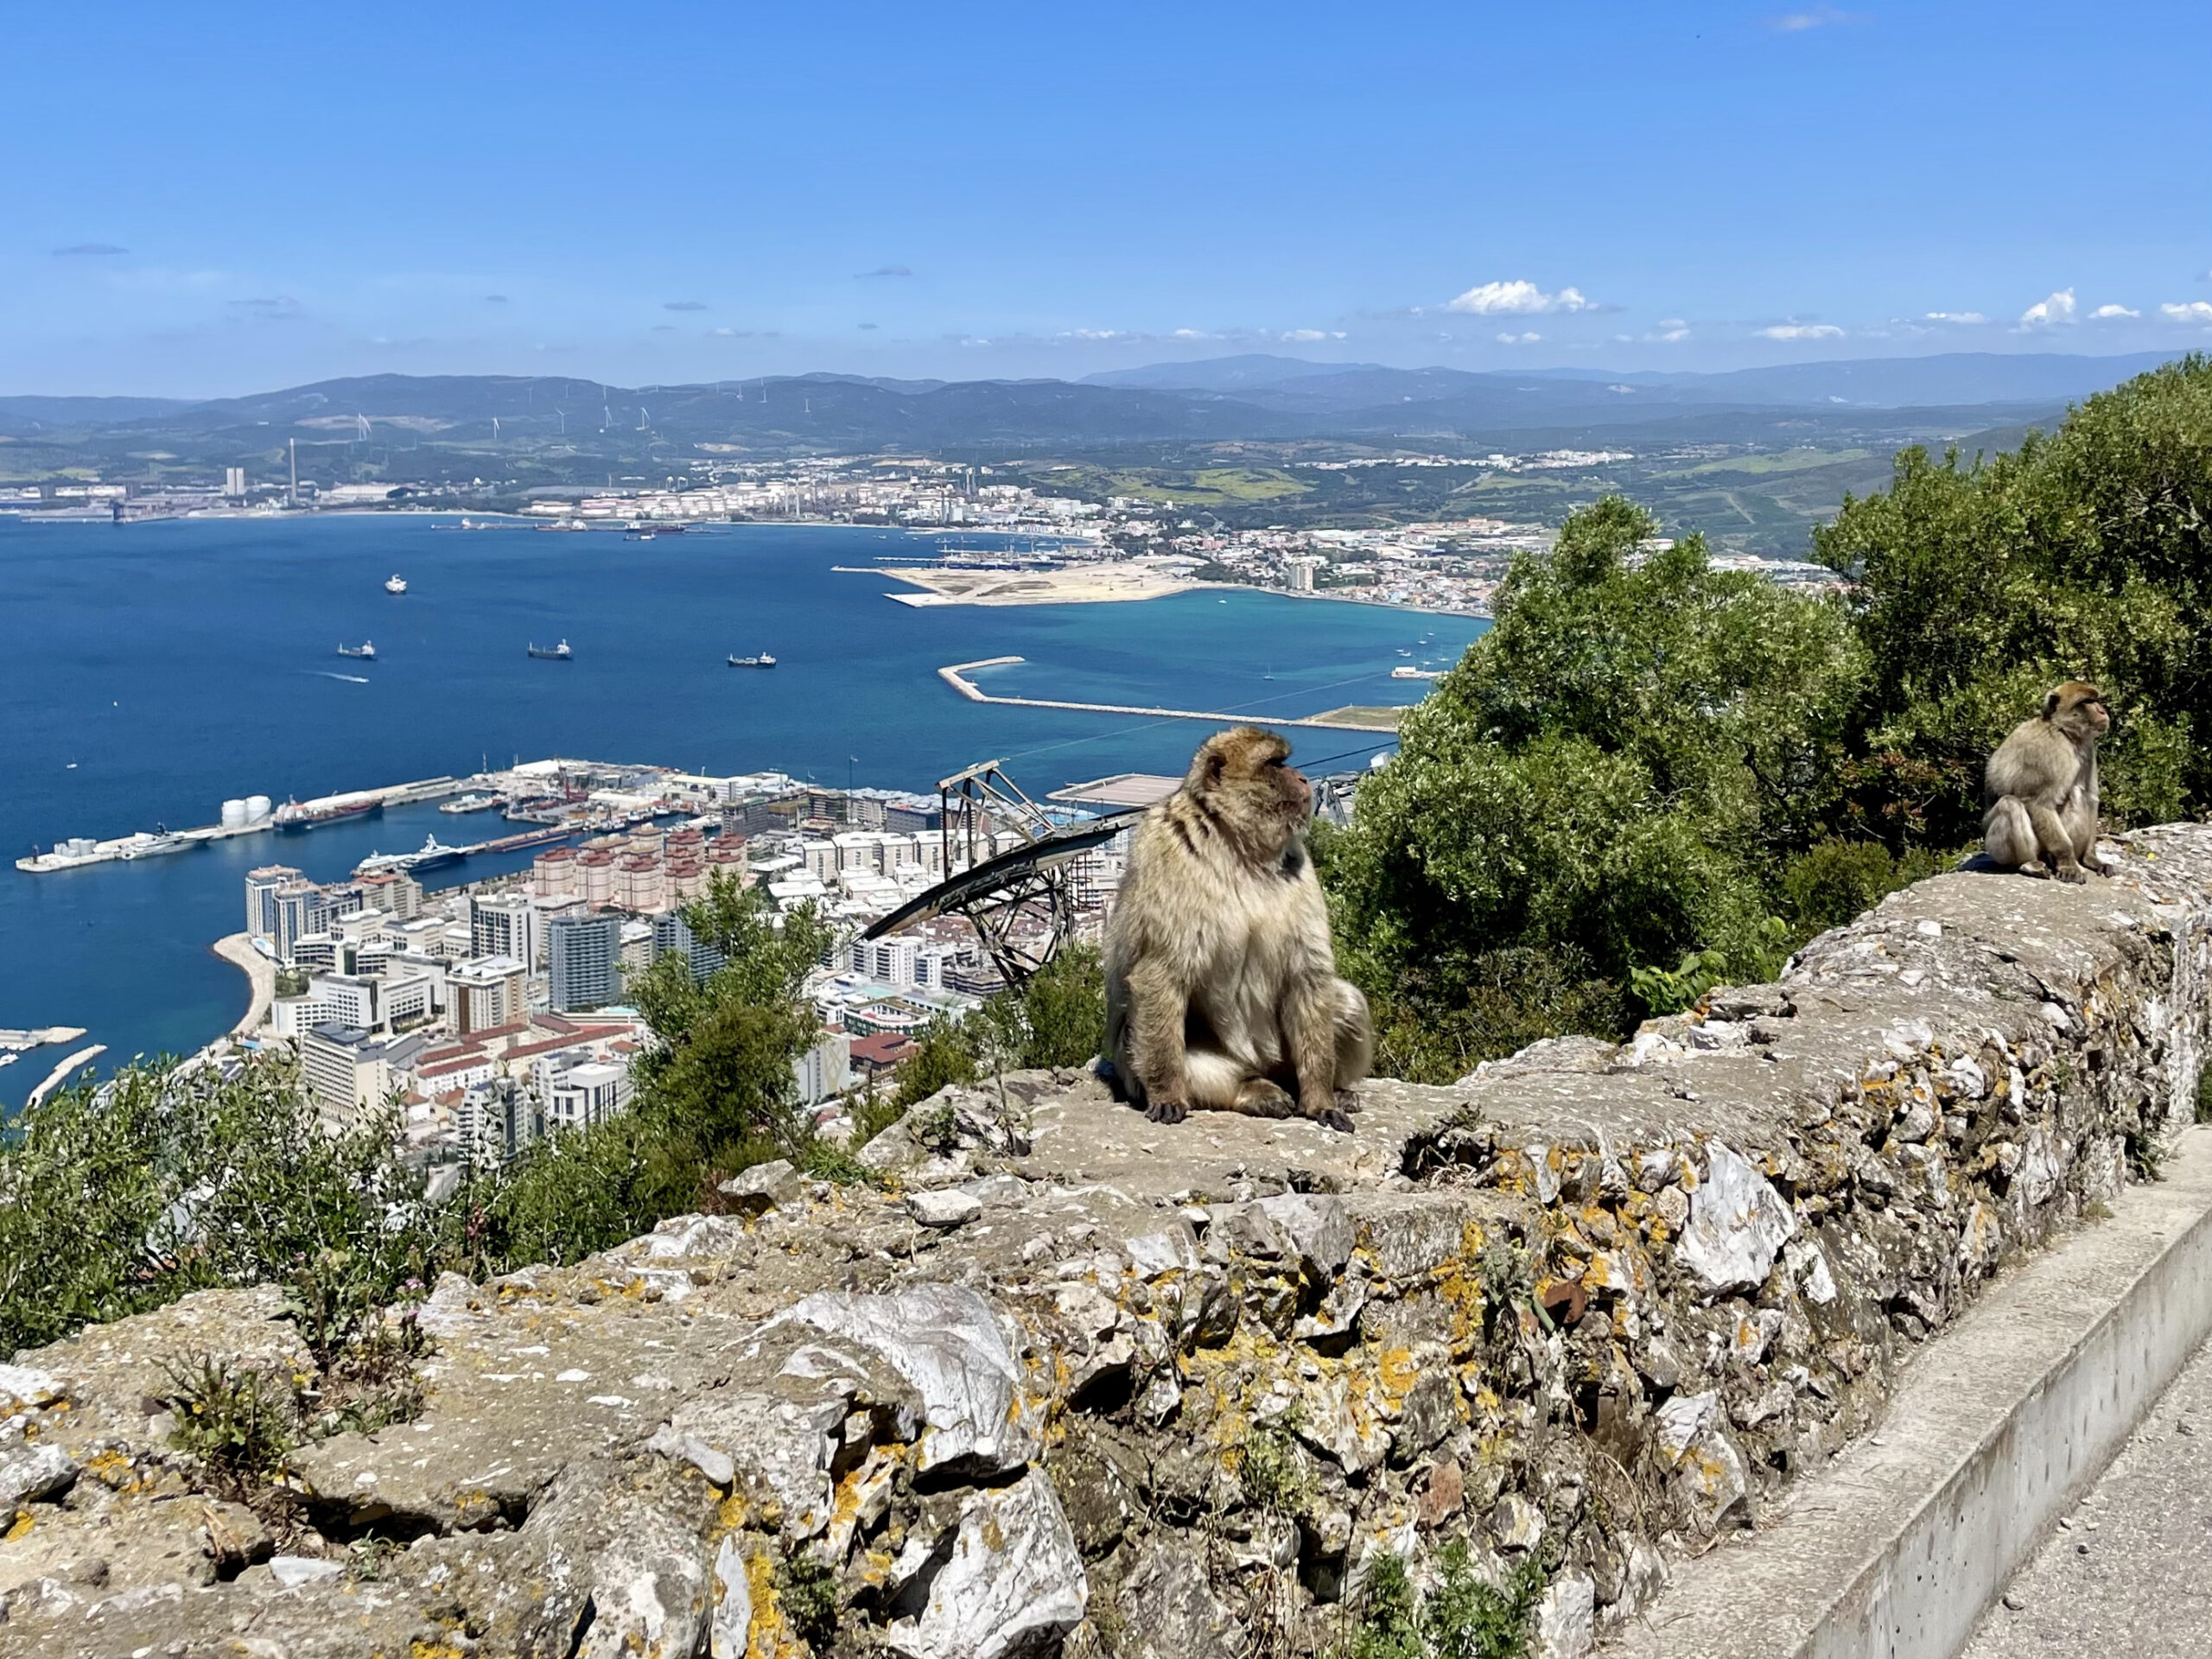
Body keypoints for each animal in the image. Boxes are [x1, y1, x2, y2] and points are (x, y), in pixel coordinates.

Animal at [1103, 725, 1373, 1133]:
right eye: (1275, 763)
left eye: (1285, 761)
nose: (1302, 777)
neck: (1239, 846)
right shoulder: (1167, 852)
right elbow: (1159, 975)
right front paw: (1167, 1095)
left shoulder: (1299, 862)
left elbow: (1307, 976)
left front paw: (1321, 1099)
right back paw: (1254, 1091)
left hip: (1284, 1060)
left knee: (1346, 1001)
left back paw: (1333, 1089)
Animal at [1982, 680, 2113, 883]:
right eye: (2087, 702)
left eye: (2096, 700)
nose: (2102, 711)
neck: (2064, 732)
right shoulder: (2049, 752)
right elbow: (2039, 803)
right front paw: (2068, 862)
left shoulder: (2088, 749)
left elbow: (2092, 799)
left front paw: (2091, 858)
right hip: (1996, 848)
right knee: (2010, 805)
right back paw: (2028, 863)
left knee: (2080, 794)